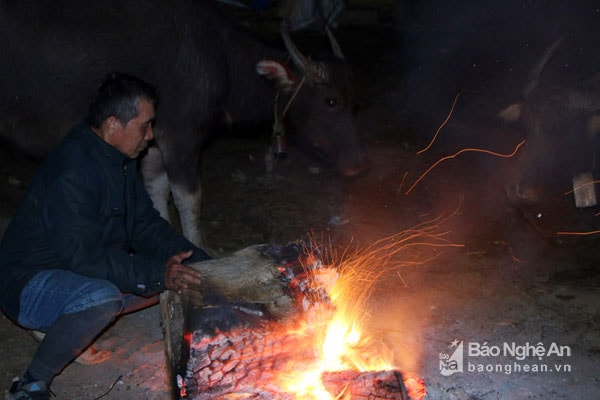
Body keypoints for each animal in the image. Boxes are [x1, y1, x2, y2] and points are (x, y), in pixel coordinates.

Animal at [0, 0, 368, 247]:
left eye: (355, 101)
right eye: (331, 101)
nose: (356, 165)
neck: (219, 60)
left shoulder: (152, 143)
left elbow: (156, 190)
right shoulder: (182, 138)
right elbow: (189, 197)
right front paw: (197, 245)